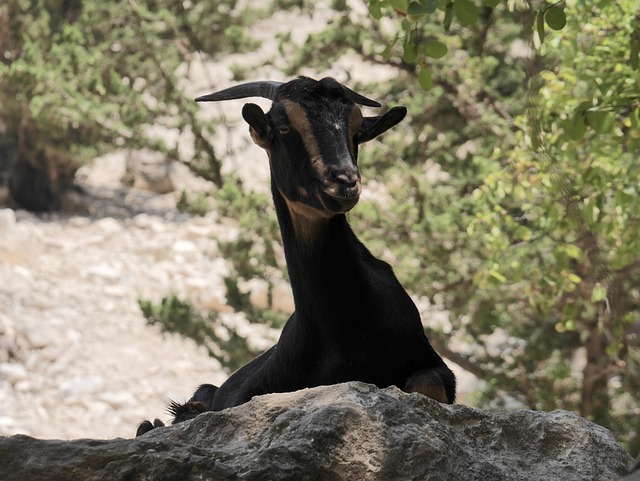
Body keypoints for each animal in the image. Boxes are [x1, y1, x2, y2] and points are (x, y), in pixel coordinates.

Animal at [136, 76, 456, 436]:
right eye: (285, 127)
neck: (343, 331)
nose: (344, 182)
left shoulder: (431, 364)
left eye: (357, 130)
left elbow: (426, 382)